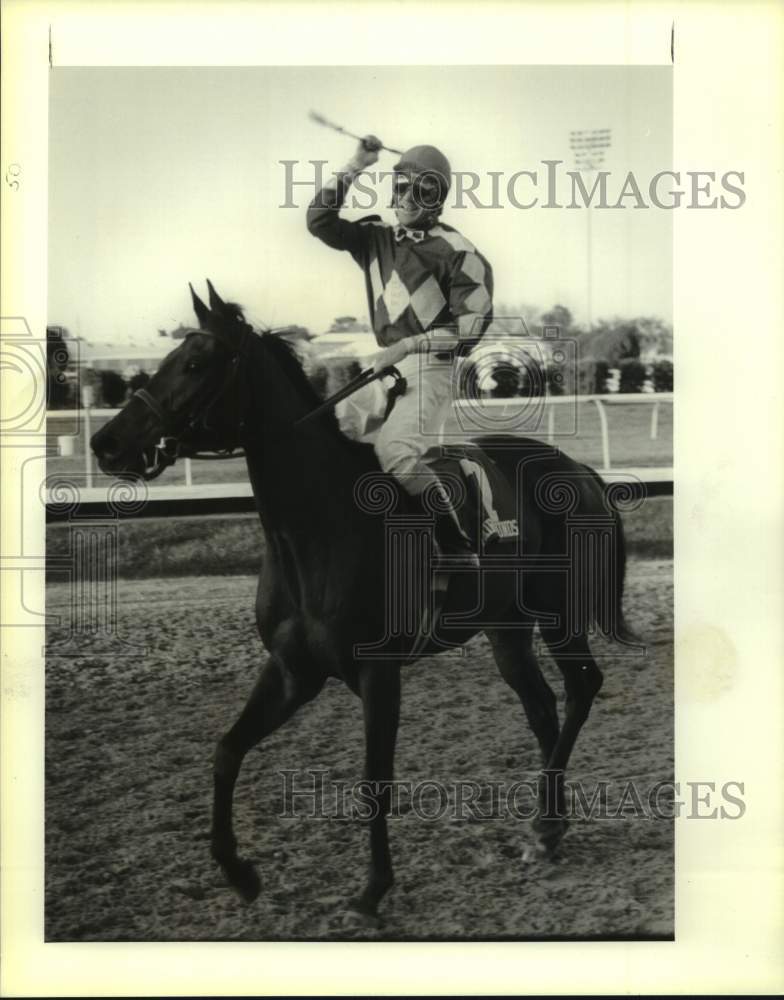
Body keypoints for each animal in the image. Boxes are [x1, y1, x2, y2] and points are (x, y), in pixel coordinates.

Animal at [90, 282, 636, 928]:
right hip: (506, 629)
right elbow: (226, 750)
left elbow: (375, 779)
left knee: (581, 688)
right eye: (172, 355)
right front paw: (238, 871)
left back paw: (546, 825)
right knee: (542, 707)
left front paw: (373, 888)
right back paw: (546, 829)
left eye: (196, 364)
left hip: (558, 614)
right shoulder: (293, 670)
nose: (105, 442)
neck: (319, 529)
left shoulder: (378, 673)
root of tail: (581, 470)